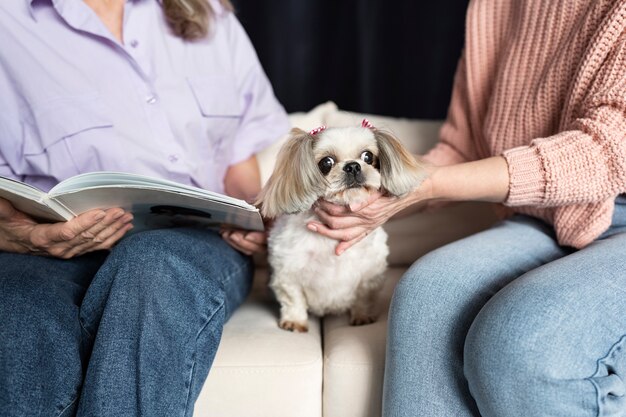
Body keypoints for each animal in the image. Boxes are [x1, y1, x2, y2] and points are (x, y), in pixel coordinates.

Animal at [255, 118, 424, 330]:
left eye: (368, 156)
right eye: (326, 162)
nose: (353, 166)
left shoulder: (370, 274)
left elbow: (364, 297)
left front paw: (362, 316)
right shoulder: (287, 273)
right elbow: (293, 299)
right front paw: (295, 321)